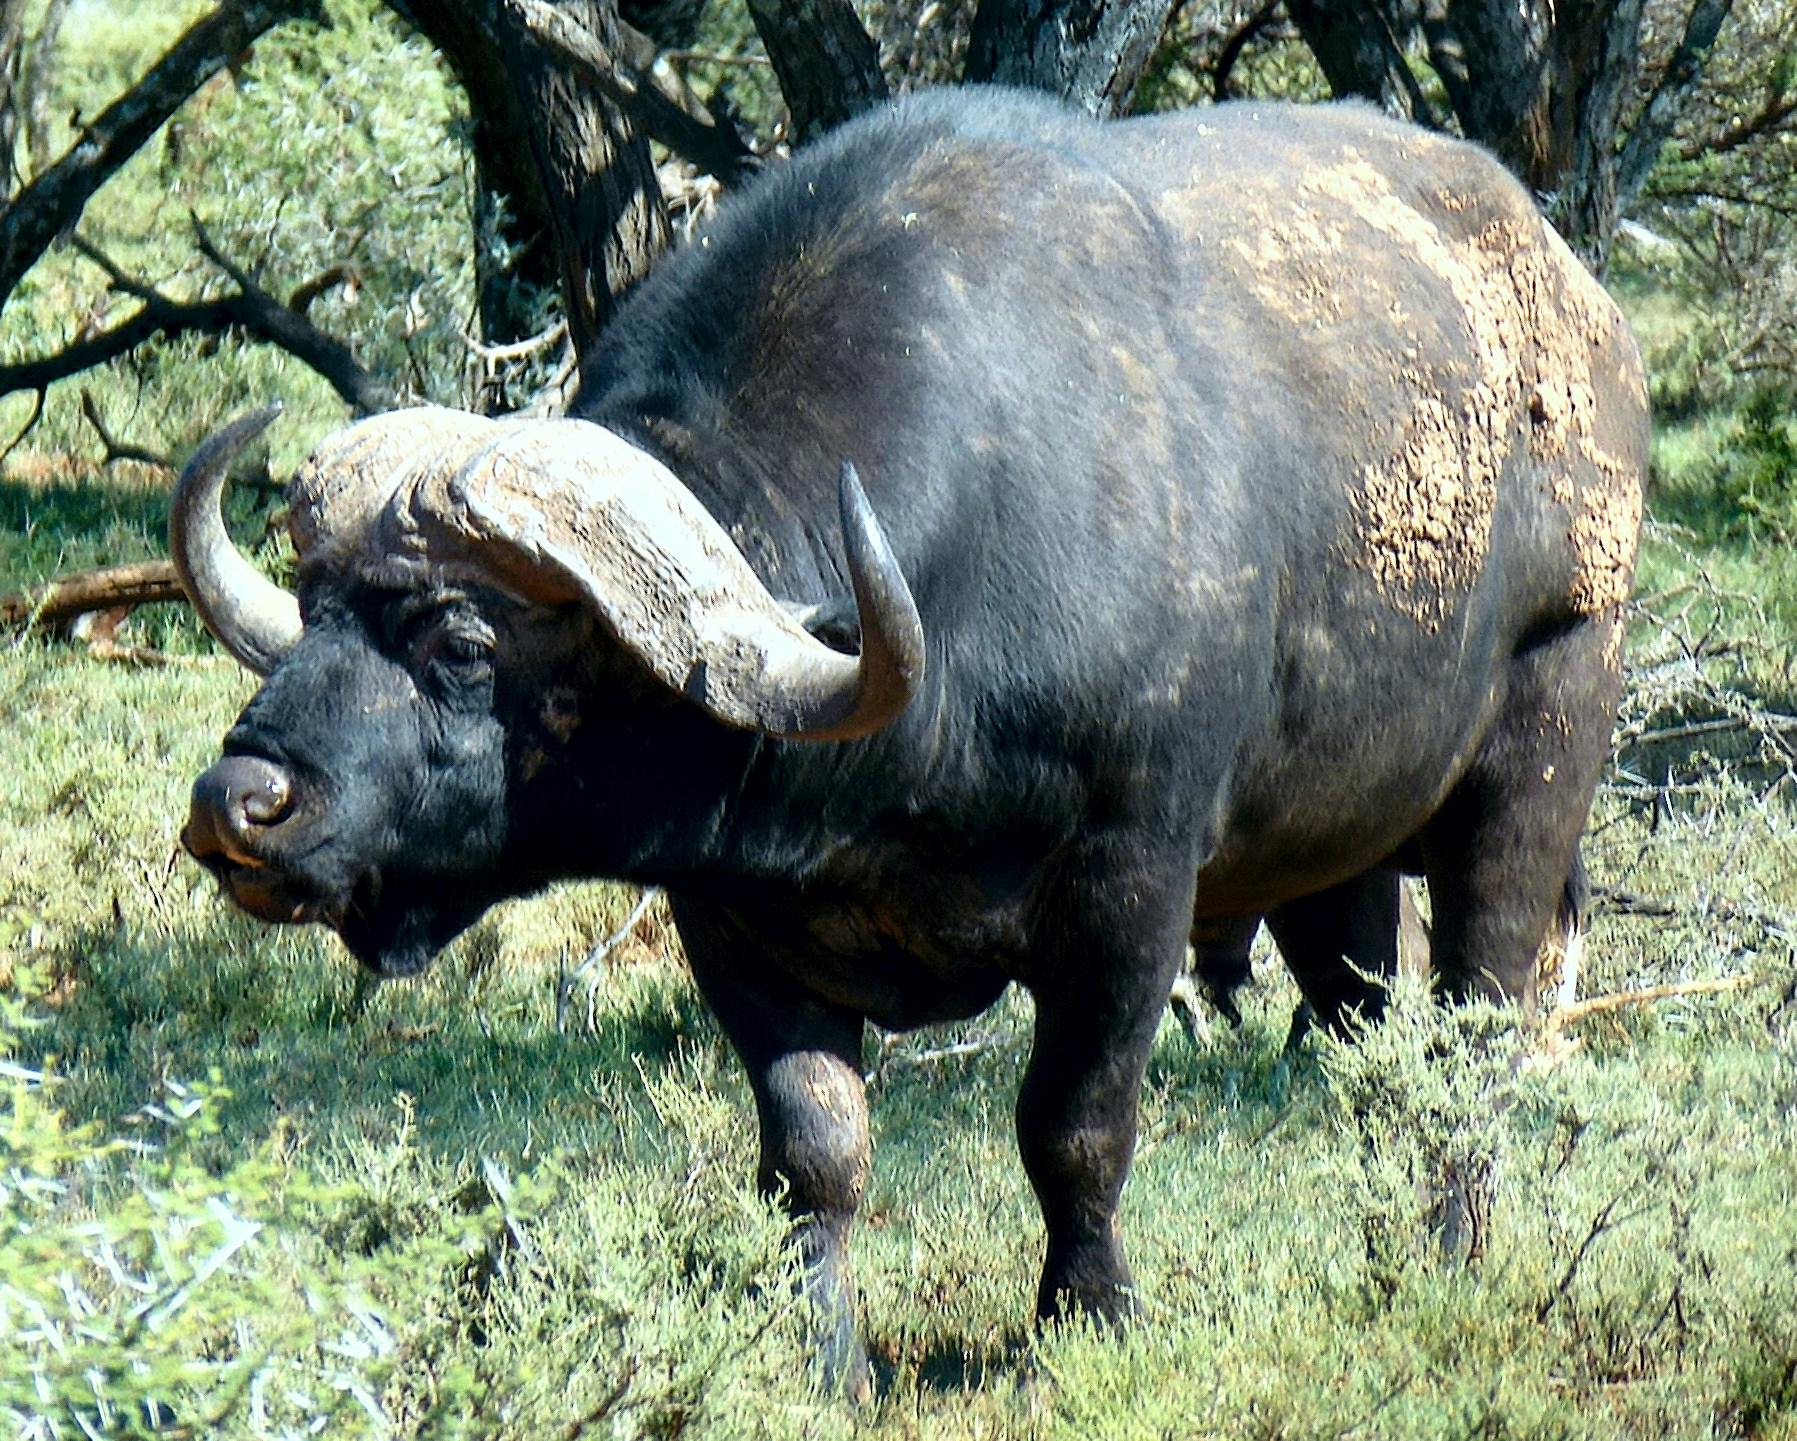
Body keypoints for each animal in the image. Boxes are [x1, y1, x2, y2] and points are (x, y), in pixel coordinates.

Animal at [174, 87, 1647, 1391]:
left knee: (1474, 1023)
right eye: (313, 609)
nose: (237, 801)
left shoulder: (1131, 886)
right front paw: (827, 1362)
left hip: (1542, 735)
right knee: (1364, 1036)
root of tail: (1580, 314)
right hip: (1332, 852)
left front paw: (1084, 1326)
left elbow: (1075, 1127)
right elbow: (812, 1151)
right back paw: (1387, 1252)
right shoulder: (738, 921)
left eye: (462, 644)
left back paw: (1450, 1255)